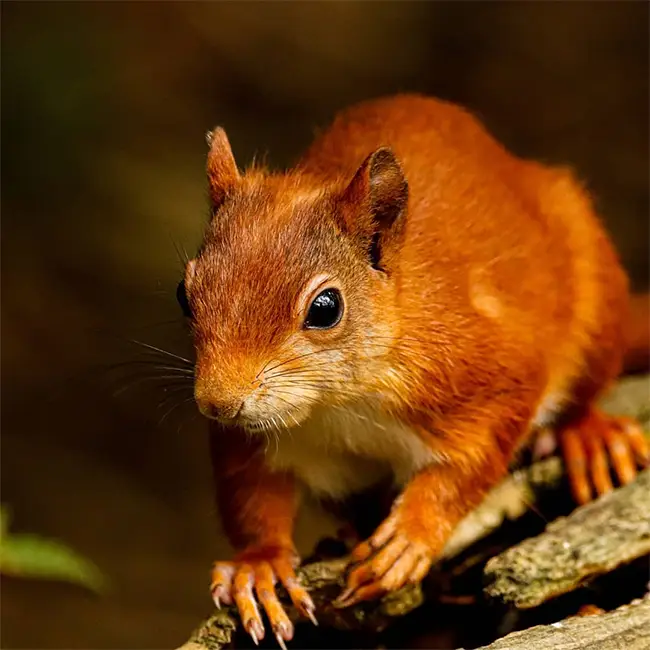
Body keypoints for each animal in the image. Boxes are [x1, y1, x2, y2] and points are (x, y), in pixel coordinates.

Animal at [177, 94, 649, 647]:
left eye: (325, 308)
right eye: (184, 293)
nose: (218, 401)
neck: (338, 402)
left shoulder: (483, 370)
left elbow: (474, 462)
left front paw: (412, 533)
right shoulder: (252, 435)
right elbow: (250, 494)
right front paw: (260, 564)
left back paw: (589, 435)